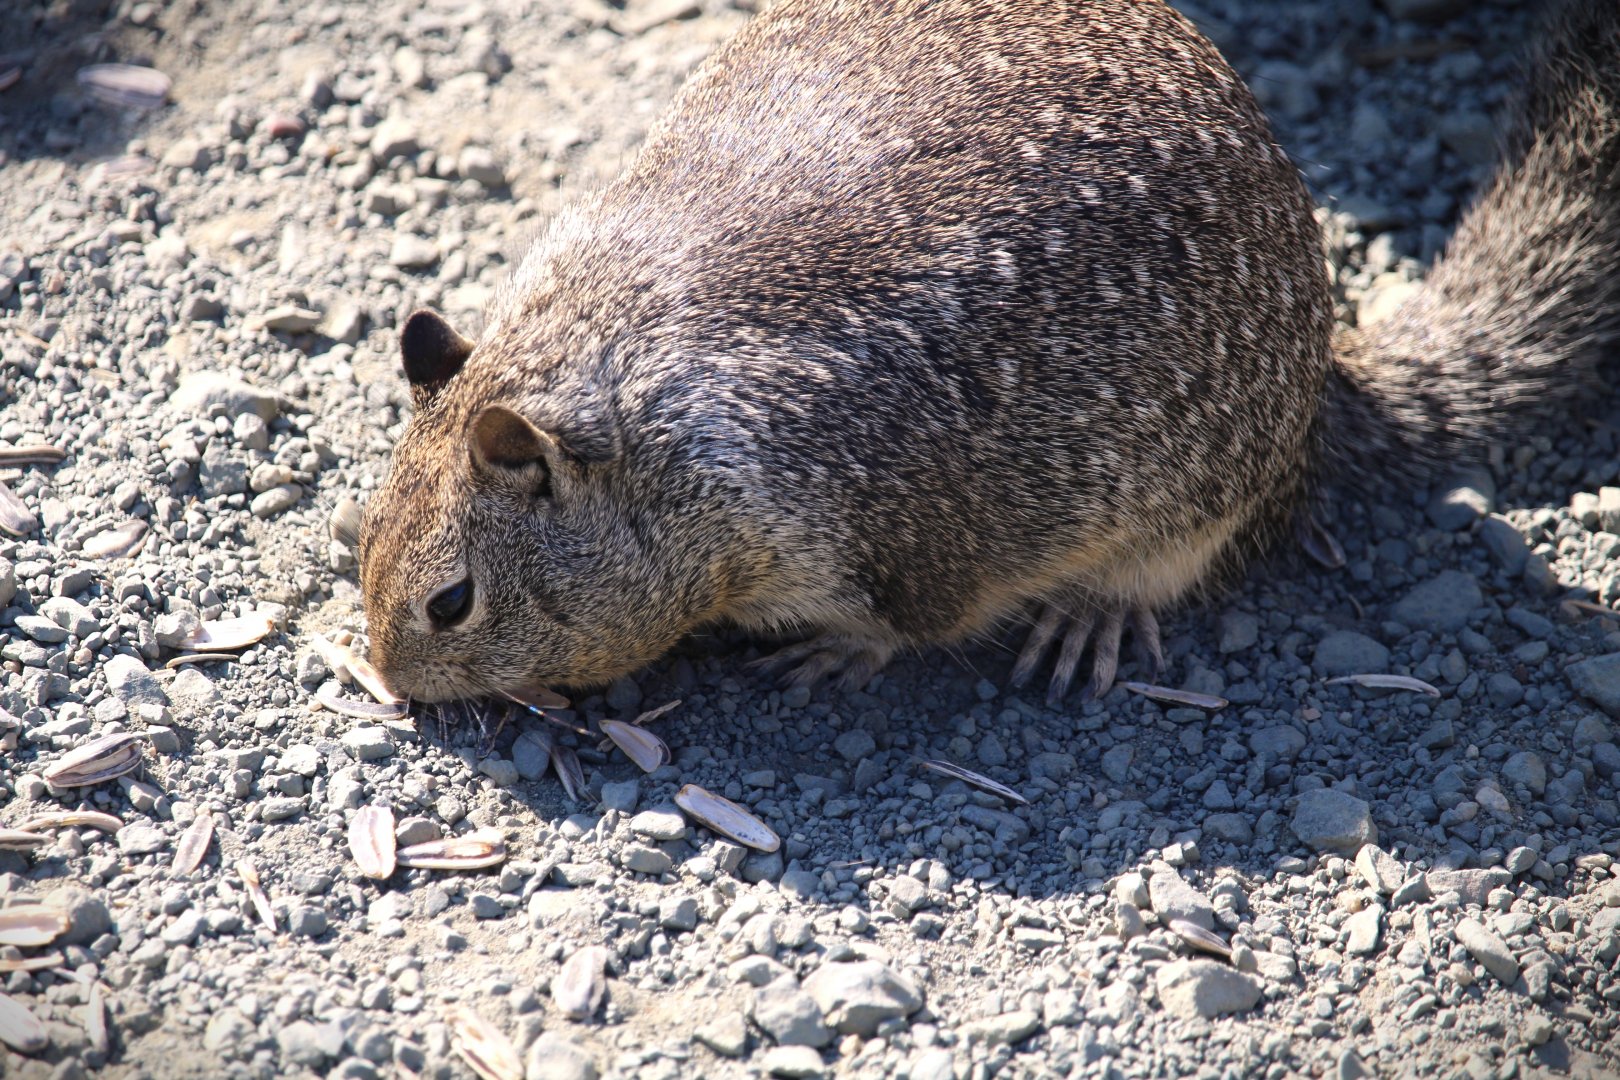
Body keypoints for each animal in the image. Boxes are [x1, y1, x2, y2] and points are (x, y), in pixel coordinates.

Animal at [356, 0, 1620, 706]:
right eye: (359, 534)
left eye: (452, 604)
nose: (390, 685)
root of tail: (1322, 387)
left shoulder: (912, 541)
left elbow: (909, 624)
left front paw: (838, 657)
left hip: (1199, 499)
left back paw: (1090, 619)